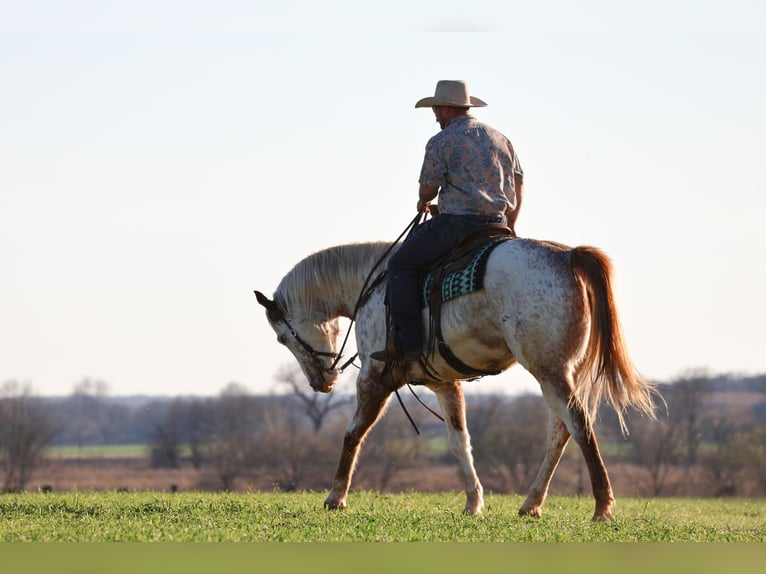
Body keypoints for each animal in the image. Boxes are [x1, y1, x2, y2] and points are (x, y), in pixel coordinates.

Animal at [255, 237, 657, 521]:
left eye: (283, 337)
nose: (319, 384)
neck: (374, 286)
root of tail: (568, 255)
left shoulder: (374, 377)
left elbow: (353, 433)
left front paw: (335, 496)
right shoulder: (444, 384)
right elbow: (459, 442)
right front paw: (474, 502)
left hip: (549, 372)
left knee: (578, 424)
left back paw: (602, 507)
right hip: (558, 372)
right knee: (561, 432)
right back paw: (531, 503)